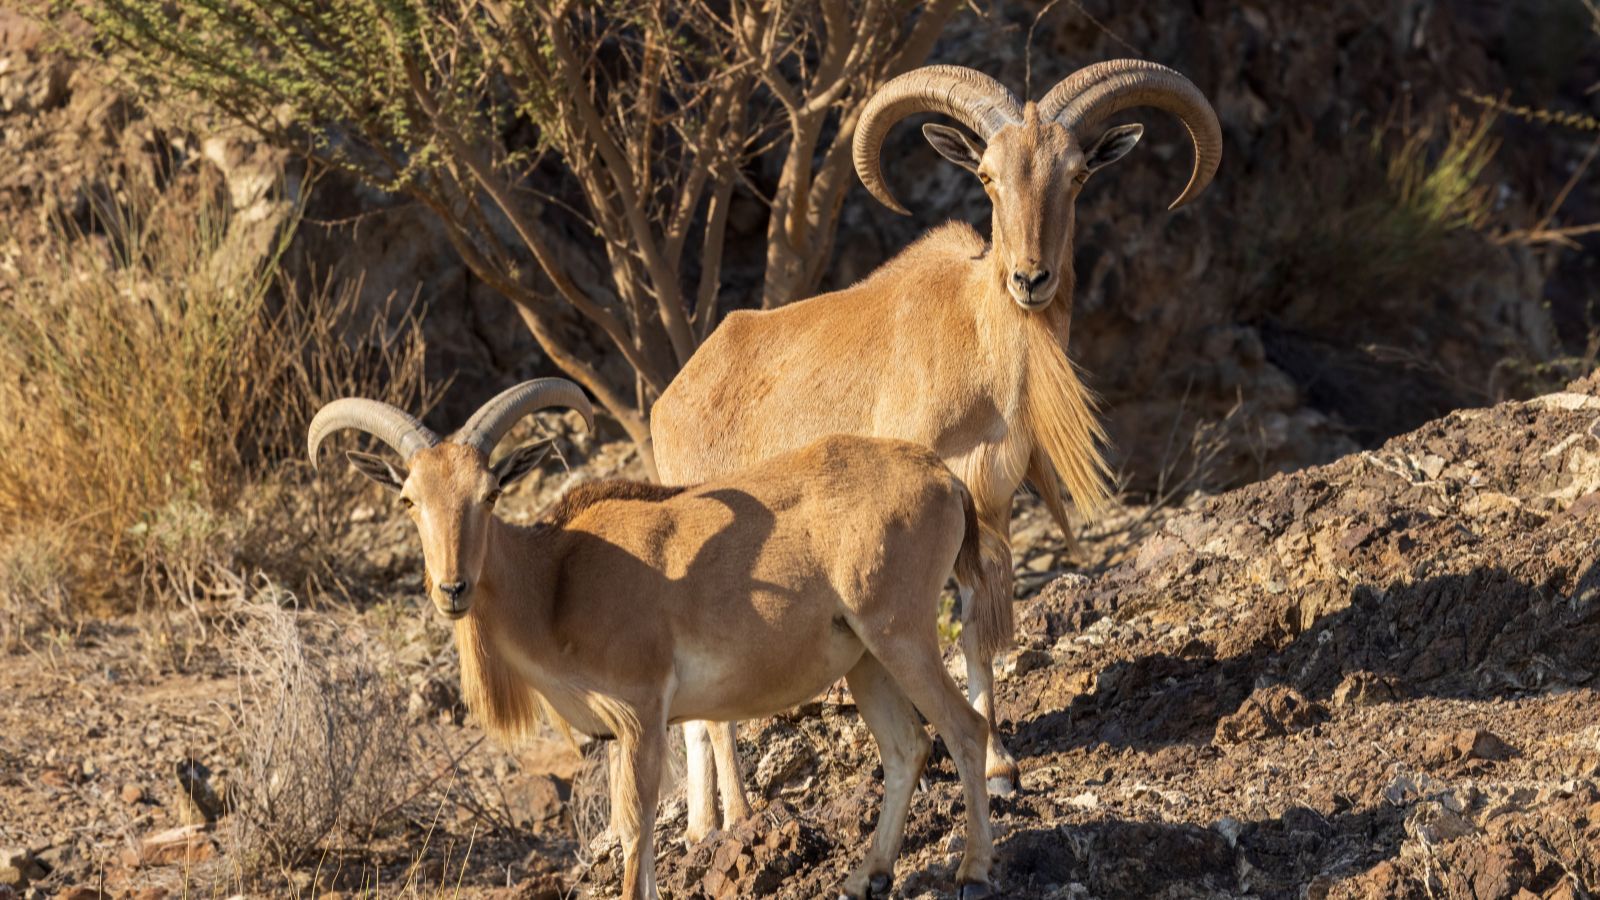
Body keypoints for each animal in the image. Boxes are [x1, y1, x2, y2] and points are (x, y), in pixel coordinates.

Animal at [307, 378, 1002, 900]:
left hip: (900, 633)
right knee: (908, 747)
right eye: (409, 498)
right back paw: (866, 877)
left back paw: (972, 872)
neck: (554, 581)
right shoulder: (620, 732)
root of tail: (945, 480)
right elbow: (627, 829)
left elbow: (637, 827)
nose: (453, 588)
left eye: (491, 492)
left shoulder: (641, 709)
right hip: (865, 658)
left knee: (965, 729)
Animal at [651, 59, 1222, 838]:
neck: (979, 346)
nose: (1031, 279)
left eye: (1076, 174)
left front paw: (1001, 768)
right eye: (985, 174)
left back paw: (704, 825)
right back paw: (738, 817)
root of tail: (672, 397)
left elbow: (979, 631)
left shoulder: (989, 508)